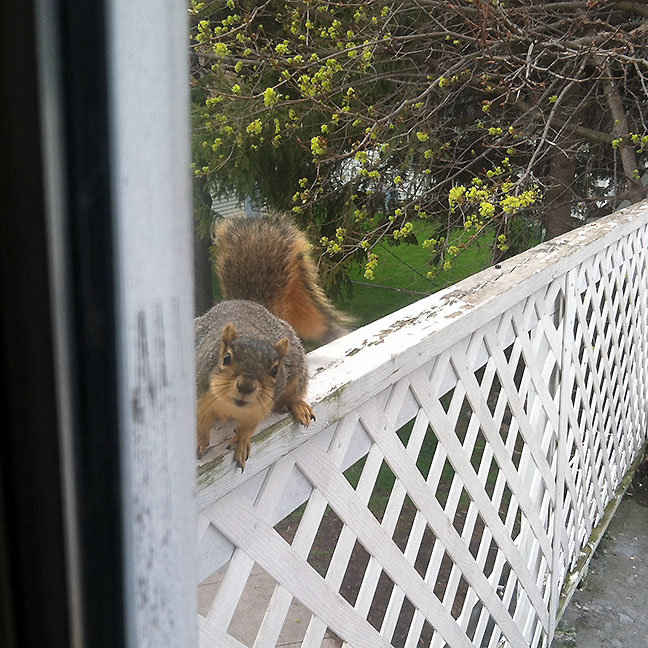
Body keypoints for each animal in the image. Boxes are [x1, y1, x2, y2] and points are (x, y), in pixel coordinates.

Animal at [195, 217, 348, 467]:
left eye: (275, 370)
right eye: (225, 358)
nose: (246, 386)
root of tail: (250, 303)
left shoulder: (265, 401)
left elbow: (250, 423)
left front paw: (242, 438)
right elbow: (200, 420)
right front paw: (200, 440)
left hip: (296, 370)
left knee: (292, 392)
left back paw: (297, 405)